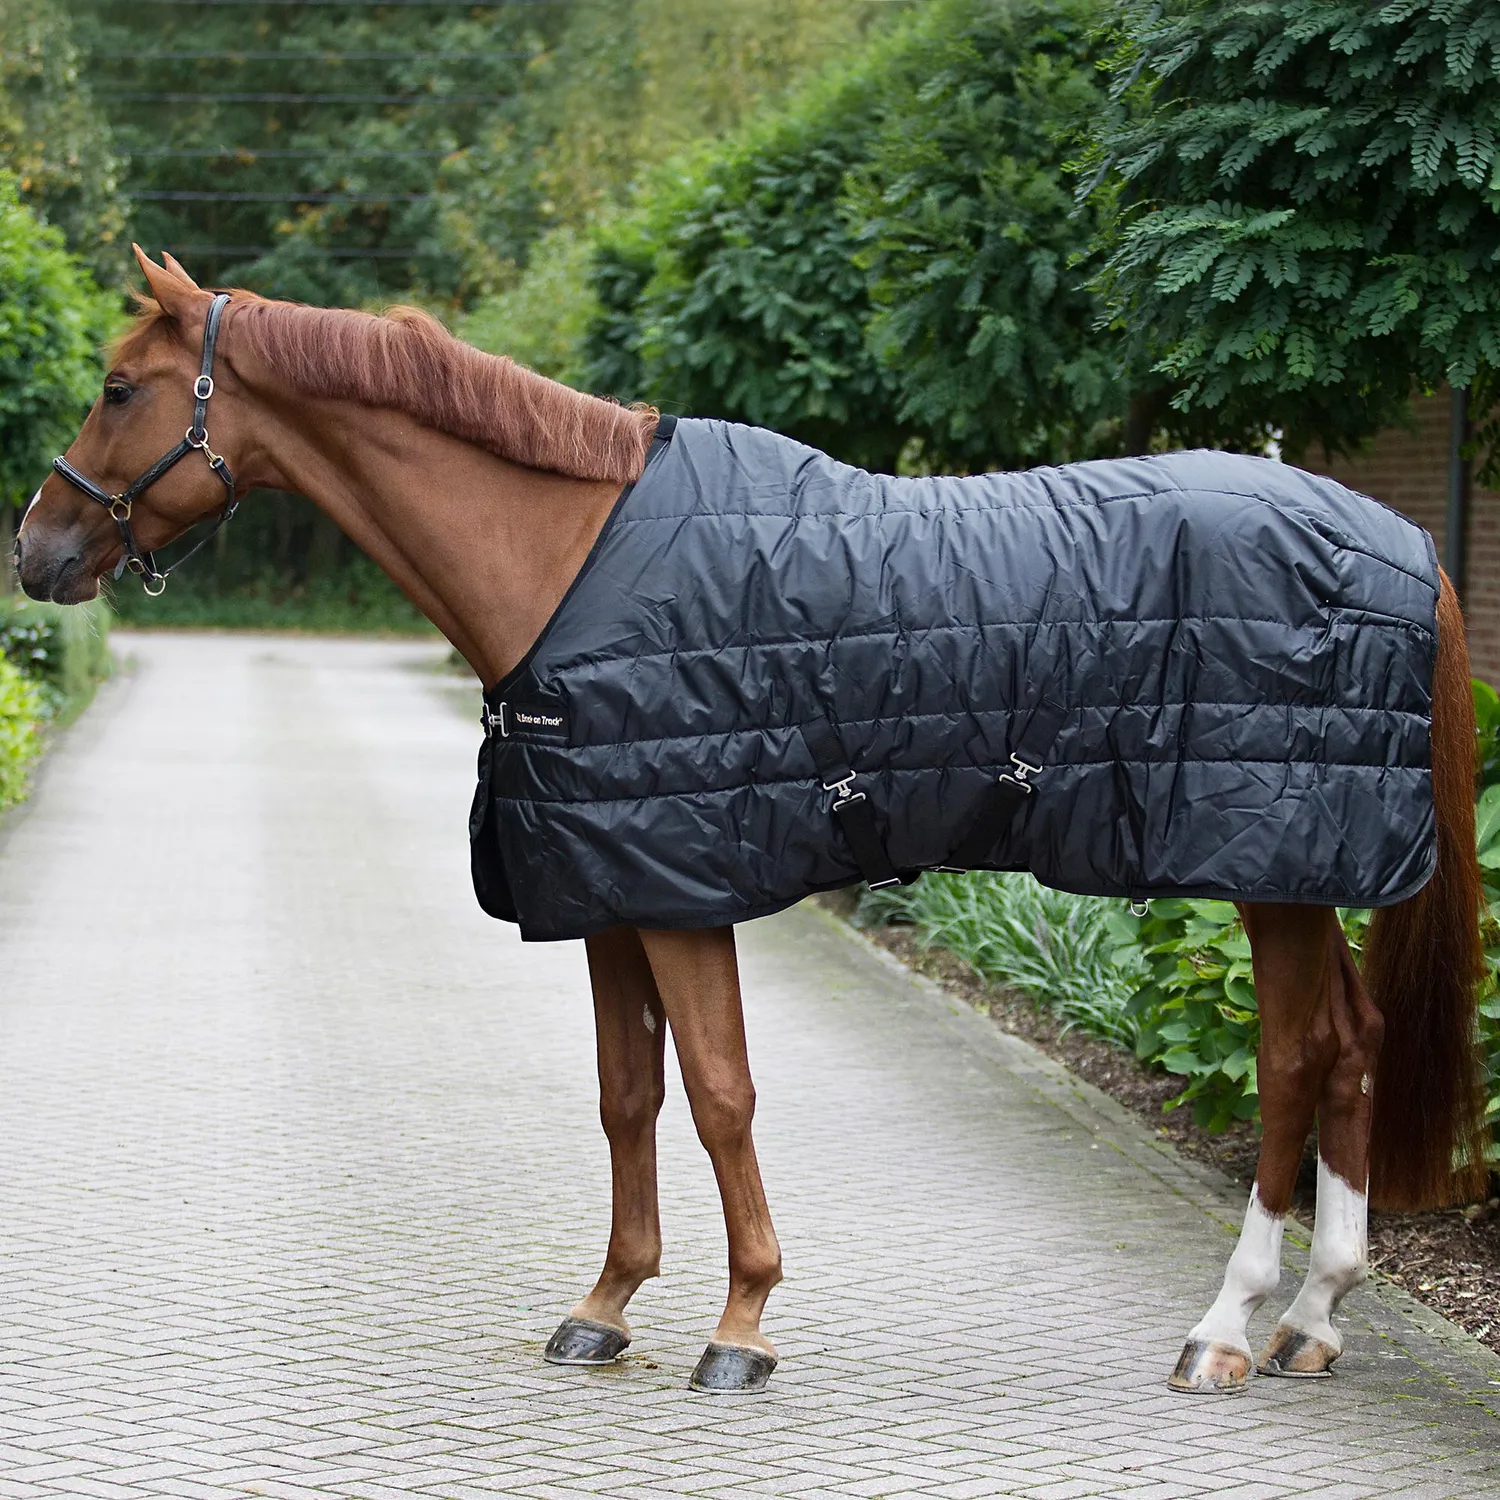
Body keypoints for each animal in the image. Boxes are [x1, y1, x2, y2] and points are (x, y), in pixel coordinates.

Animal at [16, 248, 1485, 1396]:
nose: (34, 550)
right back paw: (1312, 1321)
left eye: (118, 386)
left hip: (1271, 867)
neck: (570, 558)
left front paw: (742, 1326)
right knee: (1352, 1047)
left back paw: (1226, 1327)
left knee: (1294, 1059)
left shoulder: (681, 890)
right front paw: (606, 1307)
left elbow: (721, 1097)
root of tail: (1401, 545)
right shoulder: (606, 887)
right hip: (1306, 869)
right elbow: (626, 1096)